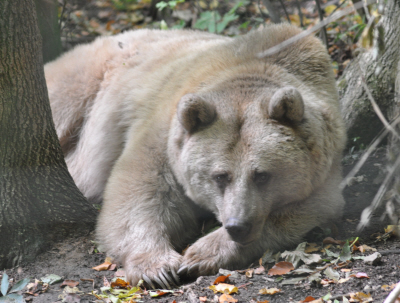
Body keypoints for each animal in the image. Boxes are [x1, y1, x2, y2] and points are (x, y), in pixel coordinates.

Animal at [45, 23, 346, 290]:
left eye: (262, 175)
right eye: (220, 176)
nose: (237, 225)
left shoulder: (323, 161)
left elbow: (307, 208)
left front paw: (201, 254)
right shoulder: (167, 132)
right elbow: (138, 188)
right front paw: (157, 268)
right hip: (83, 84)